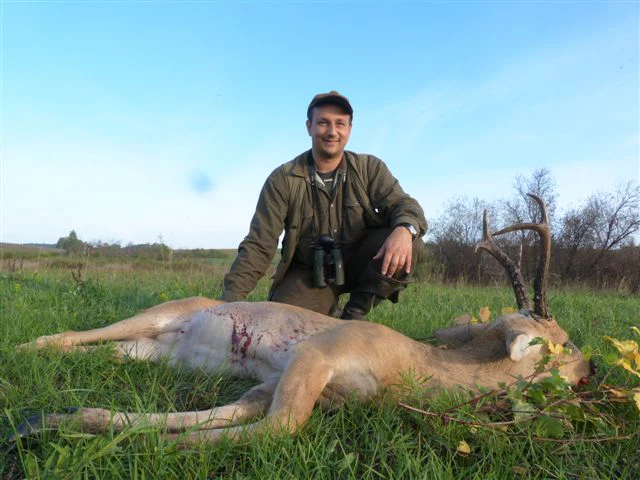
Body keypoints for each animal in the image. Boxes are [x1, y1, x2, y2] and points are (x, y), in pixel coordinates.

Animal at [12, 195, 590, 447]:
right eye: (559, 343)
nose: (591, 372)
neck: (413, 366)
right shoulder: (316, 357)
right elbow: (279, 428)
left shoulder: (273, 384)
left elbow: (225, 416)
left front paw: (60, 421)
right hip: (156, 316)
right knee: (58, 336)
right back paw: (20, 352)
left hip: (158, 352)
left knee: (103, 352)